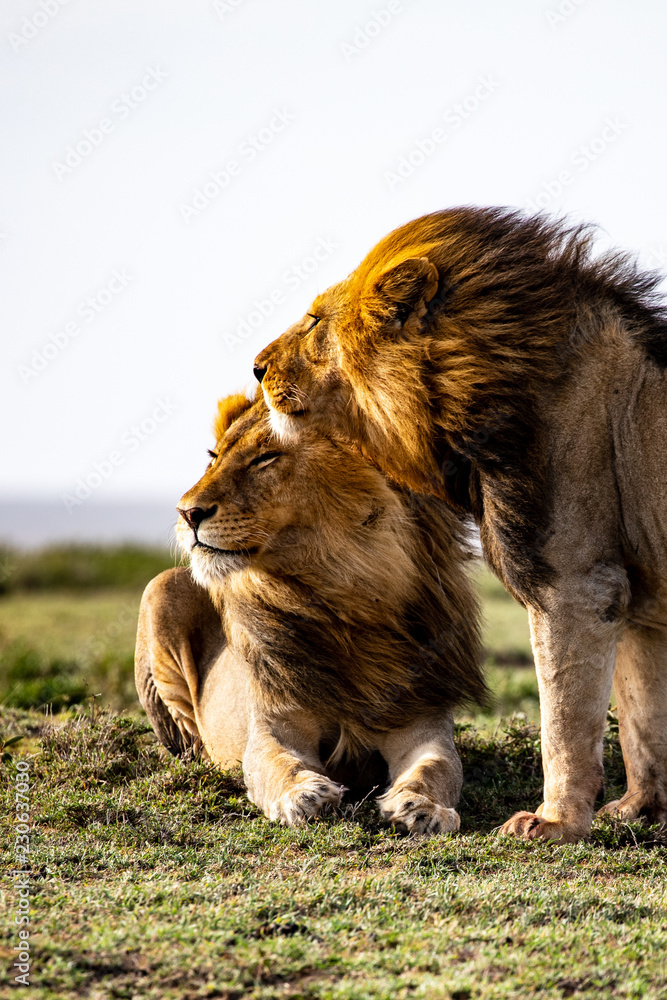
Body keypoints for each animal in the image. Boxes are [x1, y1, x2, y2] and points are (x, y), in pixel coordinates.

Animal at [135, 393, 486, 832]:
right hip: (161, 587)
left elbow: (437, 767)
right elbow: (278, 763)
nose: (186, 513)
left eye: (265, 458)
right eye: (214, 457)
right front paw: (304, 795)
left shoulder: (423, 721)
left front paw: (422, 807)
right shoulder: (275, 726)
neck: (343, 598)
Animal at [253, 206, 667, 842]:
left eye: (317, 320)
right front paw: (638, 811)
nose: (255, 368)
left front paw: (554, 823)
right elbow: (645, 723)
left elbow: (565, 723)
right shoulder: (635, 599)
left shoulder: (578, 584)